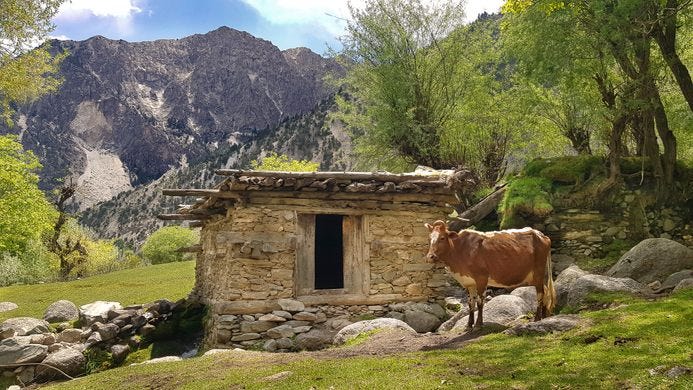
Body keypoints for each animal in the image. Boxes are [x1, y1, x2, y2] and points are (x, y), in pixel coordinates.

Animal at [424, 221, 556, 328]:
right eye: (429, 238)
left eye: (442, 238)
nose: (430, 257)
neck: (460, 251)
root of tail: (541, 235)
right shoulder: (468, 283)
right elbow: (470, 303)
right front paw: (469, 325)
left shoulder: (481, 278)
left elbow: (479, 302)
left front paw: (478, 324)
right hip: (540, 277)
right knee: (546, 293)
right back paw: (545, 317)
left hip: (539, 272)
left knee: (540, 294)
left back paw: (537, 319)